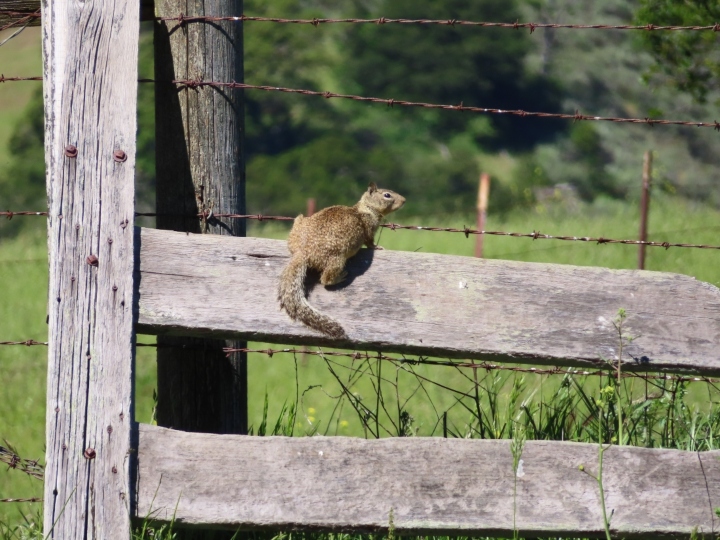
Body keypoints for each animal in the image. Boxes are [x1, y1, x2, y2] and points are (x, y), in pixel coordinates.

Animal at [278, 184, 404, 340]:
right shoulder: (369, 228)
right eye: (387, 195)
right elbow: (370, 242)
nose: (404, 200)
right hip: (337, 259)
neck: (365, 207)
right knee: (325, 279)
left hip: (298, 223)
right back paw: (340, 277)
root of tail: (302, 253)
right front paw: (378, 247)